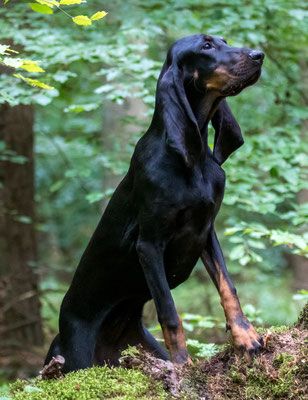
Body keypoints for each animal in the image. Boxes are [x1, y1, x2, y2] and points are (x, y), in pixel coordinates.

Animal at [43, 34, 264, 376]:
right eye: (206, 47)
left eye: (224, 40)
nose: (259, 55)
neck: (192, 157)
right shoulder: (149, 244)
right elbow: (170, 312)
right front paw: (183, 365)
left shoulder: (206, 231)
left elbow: (228, 287)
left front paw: (245, 335)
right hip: (76, 357)